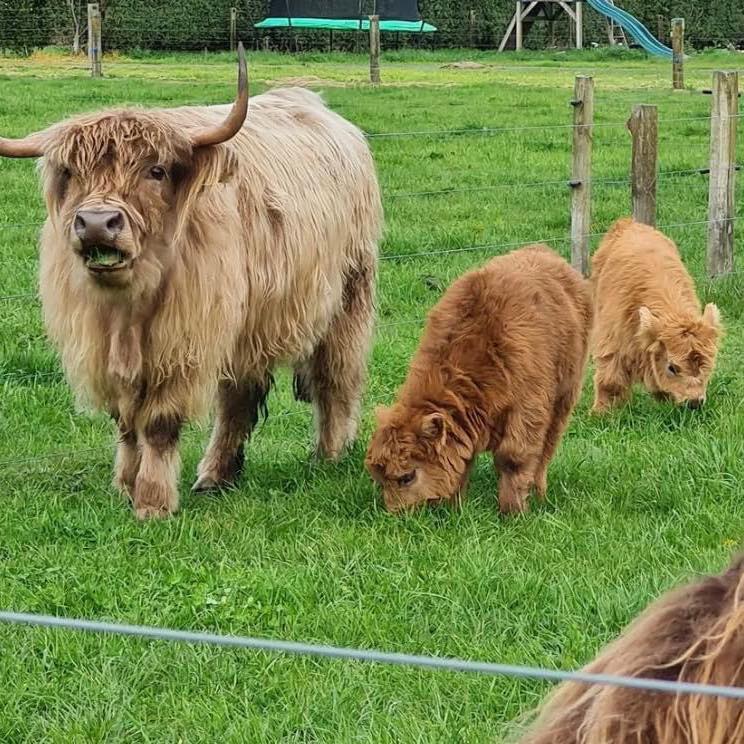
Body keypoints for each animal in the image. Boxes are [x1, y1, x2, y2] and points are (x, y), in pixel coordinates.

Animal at [0, 46, 382, 519]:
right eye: (70, 173)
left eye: (156, 171)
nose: (97, 223)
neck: (128, 309)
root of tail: (323, 110)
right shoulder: (101, 346)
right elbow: (125, 422)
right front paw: (124, 486)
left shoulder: (183, 342)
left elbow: (158, 423)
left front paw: (152, 501)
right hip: (248, 327)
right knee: (240, 398)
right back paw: (217, 476)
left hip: (348, 295)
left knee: (335, 377)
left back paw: (328, 454)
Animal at [364, 245, 592, 515]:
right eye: (379, 479)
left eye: (407, 476)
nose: (395, 513)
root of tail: (544, 251)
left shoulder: (528, 411)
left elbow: (514, 458)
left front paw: (513, 511)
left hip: (565, 396)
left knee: (548, 445)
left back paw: (539, 491)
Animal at [591, 218, 722, 413]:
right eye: (672, 367)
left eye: (708, 363)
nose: (694, 402)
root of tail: (629, 223)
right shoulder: (610, 341)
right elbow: (610, 380)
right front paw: (601, 412)